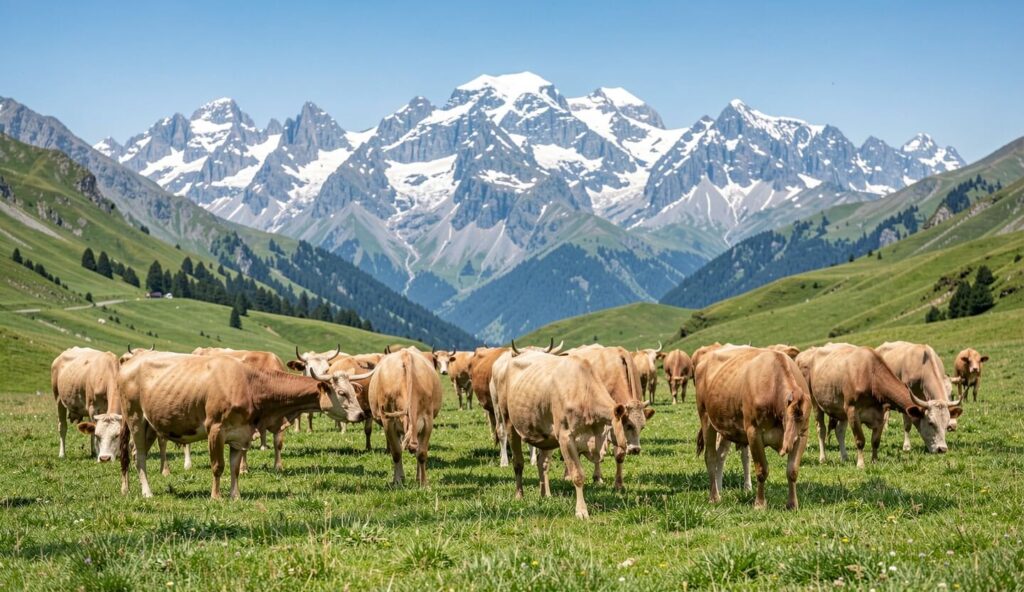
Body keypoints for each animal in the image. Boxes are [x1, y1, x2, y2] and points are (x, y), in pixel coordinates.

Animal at [118, 352, 370, 499]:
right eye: (341, 393)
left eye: (353, 391)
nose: (360, 414)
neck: (249, 384)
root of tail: (131, 361)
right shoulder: (215, 429)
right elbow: (218, 466)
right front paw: (216, 496)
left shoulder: (241, 434)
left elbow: (234, 467)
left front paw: (235, 496)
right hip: (135, 419)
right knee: (137, 455)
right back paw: (146, 492)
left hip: (152, 424)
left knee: (133, 453)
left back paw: (126, 488)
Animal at [367, 347, 443, 486]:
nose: (411, 446)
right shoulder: (388, 422)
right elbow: (397, 452)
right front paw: (397, 481)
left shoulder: (428, 422)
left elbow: (422, 453)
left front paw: (424, 483)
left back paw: (417, 477)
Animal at [500, 349, 631, 519]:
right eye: (627, 425)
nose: (635, 448)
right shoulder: (565, 438)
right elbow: (577, 475)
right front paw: (581, 511)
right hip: (509, 423)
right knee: (518, 462)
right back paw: (519, 495)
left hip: (544, 434)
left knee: (542, 464)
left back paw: (545, 494)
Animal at [694, 344, 811, 509]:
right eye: (792, 416)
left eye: (804, 418)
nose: (789, 443)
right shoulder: (754, 433)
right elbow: (762, 470)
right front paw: (760, 504)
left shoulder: (802, 437)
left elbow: (792, 471)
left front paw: (792, 504)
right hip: (706, 418)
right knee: (710, 456)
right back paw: (714, 496)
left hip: (725, 426)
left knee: (720, 455)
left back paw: (719, 488)